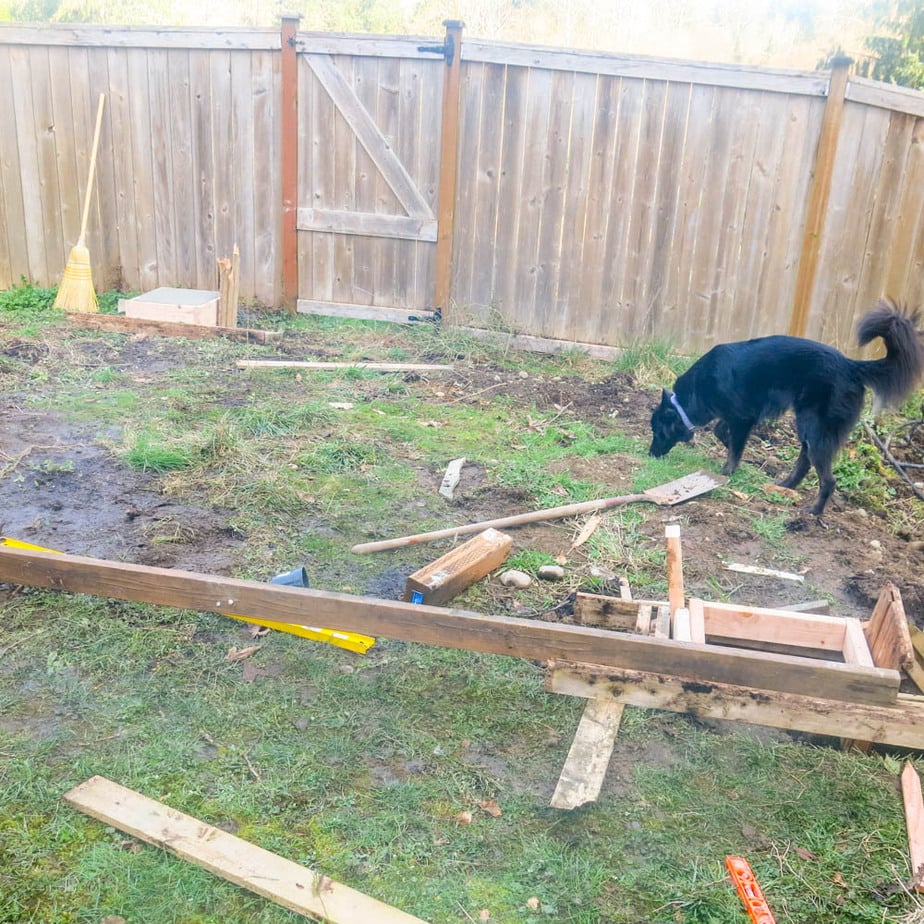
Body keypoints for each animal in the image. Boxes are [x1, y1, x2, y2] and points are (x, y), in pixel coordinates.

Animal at [648, 304, 924, 516]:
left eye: (658, 432)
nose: (650, 455)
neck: (690, 397)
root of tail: (851, 365)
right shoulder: (736, 416)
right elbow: (722, 432)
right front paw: (733, 454)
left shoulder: (742, 418)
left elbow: (733, 445)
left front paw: (728, 470)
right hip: (807, 426)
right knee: (805, 459)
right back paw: (788, 485)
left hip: (815, 428)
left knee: (827, 478)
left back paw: (815, 511)